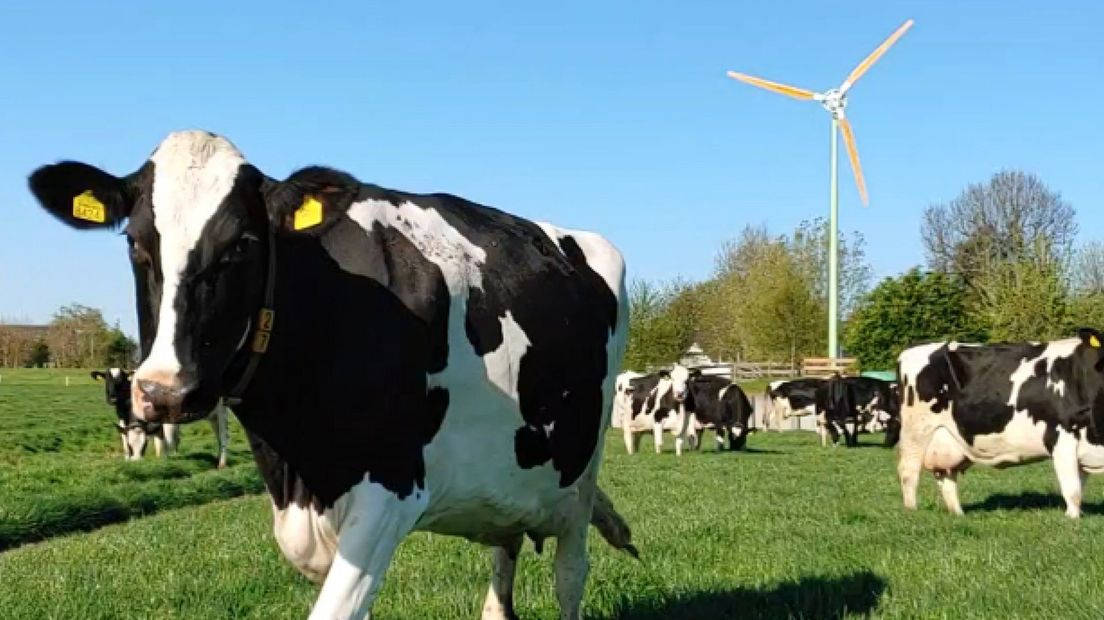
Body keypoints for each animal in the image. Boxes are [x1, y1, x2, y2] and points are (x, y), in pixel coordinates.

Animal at [91, 366, 230, 463]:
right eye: (107, 380)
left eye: (122, 380)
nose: (113, 399)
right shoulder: (124, 420)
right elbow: (125, 440)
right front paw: (128, 460)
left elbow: (164, 443)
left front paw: (165, 462)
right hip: (211, 417)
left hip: (221, 412)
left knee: (223, 436)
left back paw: (222, 463)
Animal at [896, 328, 1104, 516]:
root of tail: (912, 350)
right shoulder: (1062, 436)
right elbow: (1073, 491)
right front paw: (1072, 521)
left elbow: (1079, 489)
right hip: (917, 431)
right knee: (909, 471)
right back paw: (912, 512)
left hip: (946, 440)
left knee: (946, 476)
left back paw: (958, 515)